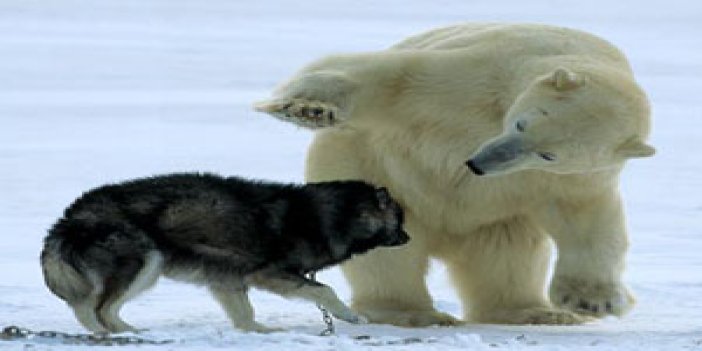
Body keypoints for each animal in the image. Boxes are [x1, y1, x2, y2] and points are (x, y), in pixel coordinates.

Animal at [40, 175, 412, 334]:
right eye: (400, 220)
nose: (408, 238)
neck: (325, 216)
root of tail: (72, 214)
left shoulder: (228, 279)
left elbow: (244, 315)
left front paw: (261, 333)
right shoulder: (268, 273)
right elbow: (325, 290)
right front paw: (351, 316)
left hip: (145, 268)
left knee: (97, 307)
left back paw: (126, 332)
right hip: (145, 262)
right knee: (94, 308)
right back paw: (112, 335)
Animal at [256, 24, 656, 328]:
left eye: (548, 155)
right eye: (522, 123)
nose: (478, 164)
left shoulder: (577, 176)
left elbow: (587, 220)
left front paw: (591, 302)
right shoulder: (477, 73)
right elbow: (388, 77)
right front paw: (309, 108)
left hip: (495, 222)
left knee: (508, 255)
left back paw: (534, 313)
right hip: (368, 167)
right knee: (384, 251)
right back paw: (413, 315)